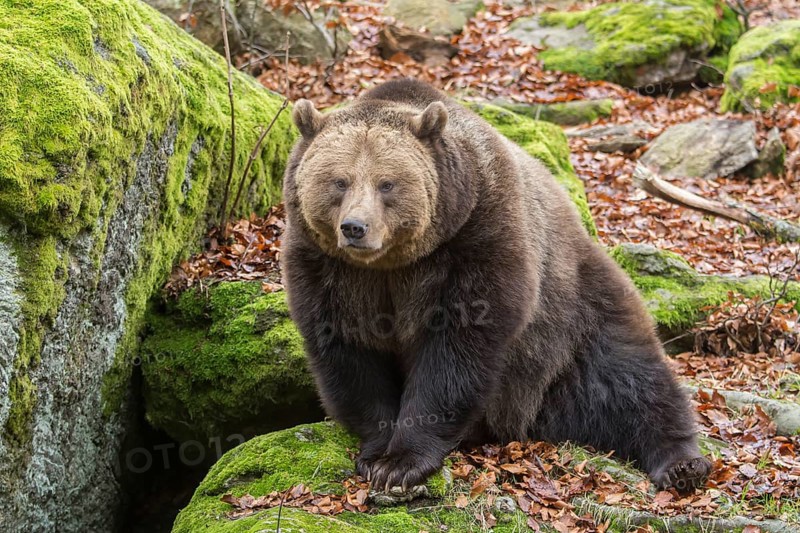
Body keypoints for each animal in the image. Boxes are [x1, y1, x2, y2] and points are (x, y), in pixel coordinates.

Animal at [281, 78, 711, 494]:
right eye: (339, 181)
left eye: (387, 183)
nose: (355, 228)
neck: (393, 263)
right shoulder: (330, 269)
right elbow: (349, 349)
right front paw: (377, 453)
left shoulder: (476, 238)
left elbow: (459, 346)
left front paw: (402, 462)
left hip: (574, 312)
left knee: (628, 379)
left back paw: (682, 464)